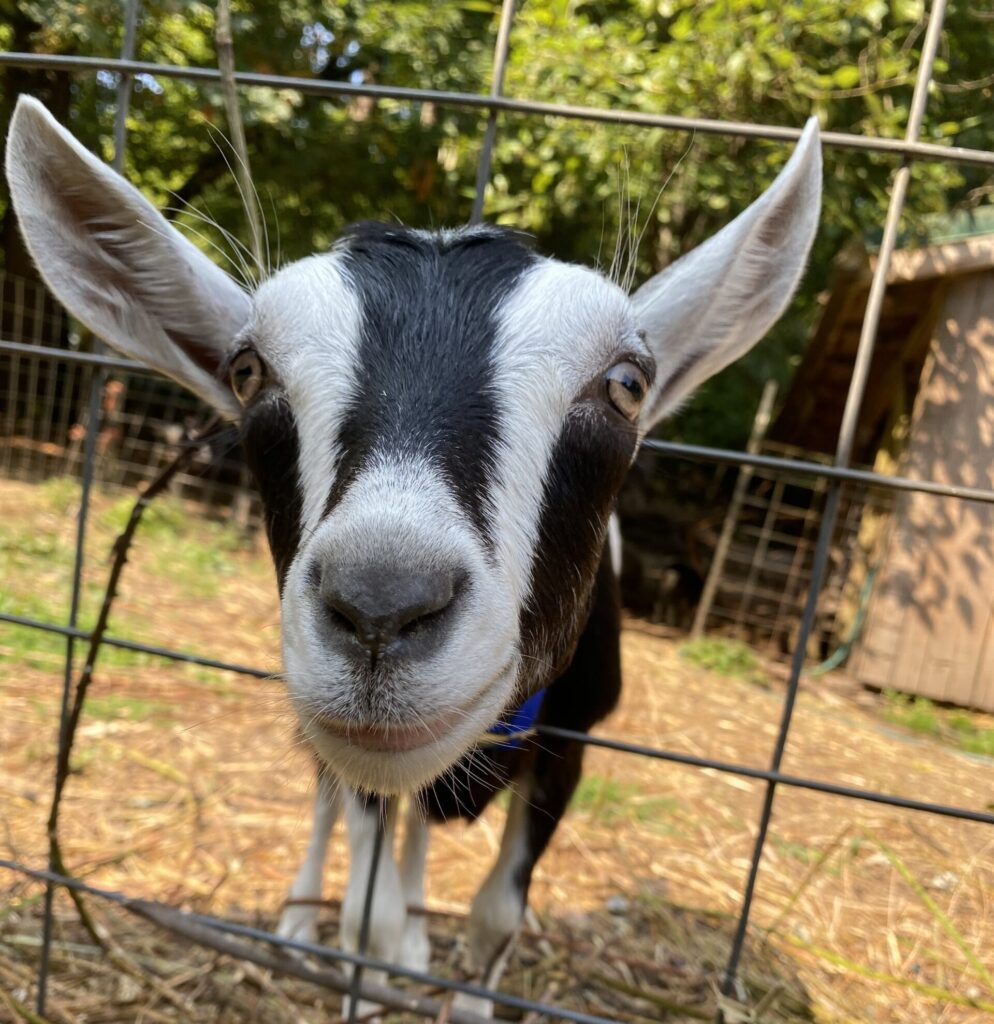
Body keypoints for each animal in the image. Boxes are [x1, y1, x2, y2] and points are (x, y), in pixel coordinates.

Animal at [3, 97, 818, 1015]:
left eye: (627, 383)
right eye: (247, 371)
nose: (381, 604)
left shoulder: (571, 738)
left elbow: (496, 917)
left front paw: (462, 997)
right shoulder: (353, 753)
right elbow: (368, 913)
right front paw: (365, 981)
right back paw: (300, 919)